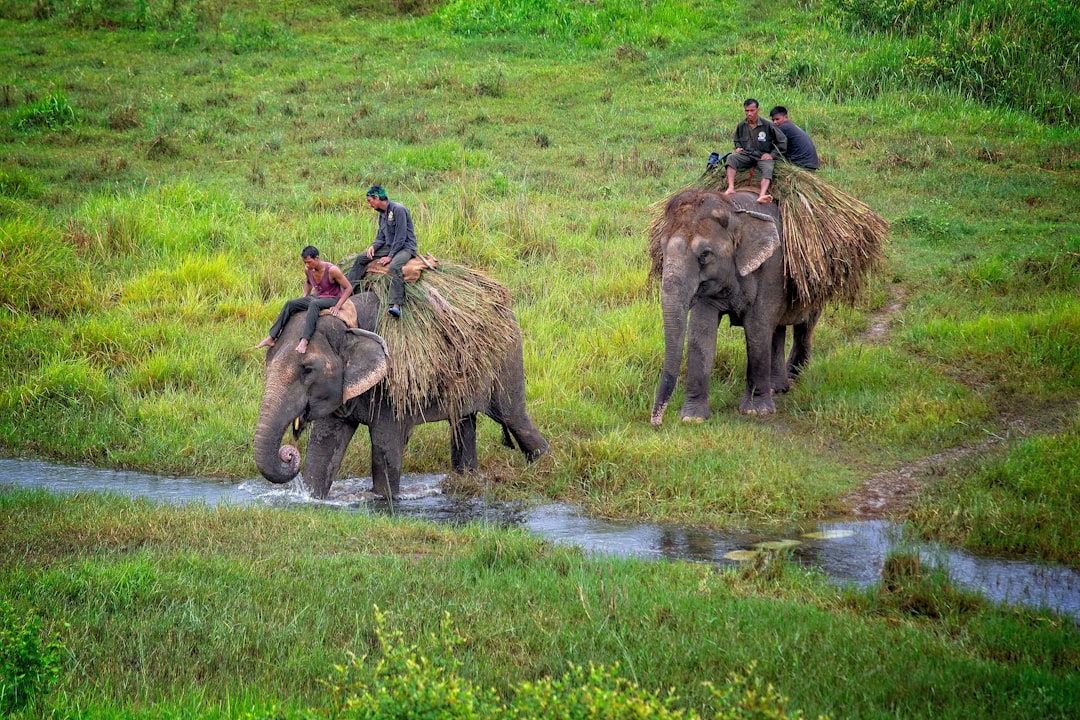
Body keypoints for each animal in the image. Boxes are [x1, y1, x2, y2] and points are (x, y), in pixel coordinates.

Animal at [252, 289, 548, 498]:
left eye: (307, 369)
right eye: (267, 360)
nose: (288, 454)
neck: (349, 322)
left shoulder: (392, 381)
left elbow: (385, 446)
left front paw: (385, 500)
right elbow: (323, 446)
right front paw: (313, 499)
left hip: (506, 358)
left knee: (513, 417)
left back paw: (544, 466)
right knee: (464, 423)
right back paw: (465, 482)